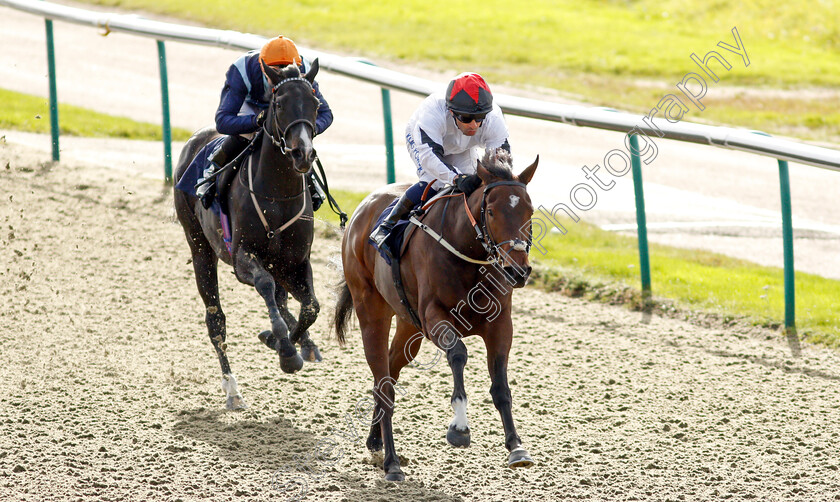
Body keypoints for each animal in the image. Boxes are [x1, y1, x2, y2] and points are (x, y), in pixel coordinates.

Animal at [173, 60, 322, 410]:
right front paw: (284, 350)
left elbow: (311, 307)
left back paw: (305, 344)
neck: (277, 196)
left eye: (315, 103)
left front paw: (287, 342)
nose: (302, 154)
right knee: (216, 320)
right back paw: (232, 390)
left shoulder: (296, 262)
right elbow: (266, 285)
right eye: (279, 105)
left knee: (284, 299)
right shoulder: (242, 258)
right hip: (200, 248)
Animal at [334, 150, 540, 482]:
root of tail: (360, 210)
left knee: (389, 373)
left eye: (529, 211)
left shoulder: (500, 325)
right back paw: (391, 462)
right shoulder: (434, 317)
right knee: (383, 380)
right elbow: (458, 353)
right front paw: (459, 427)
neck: (468, 253)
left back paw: (376, 441)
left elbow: (500, 386)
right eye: (491, 212)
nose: (517, 271)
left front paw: (517, 447)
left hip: (408, 325)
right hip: (371, 309)